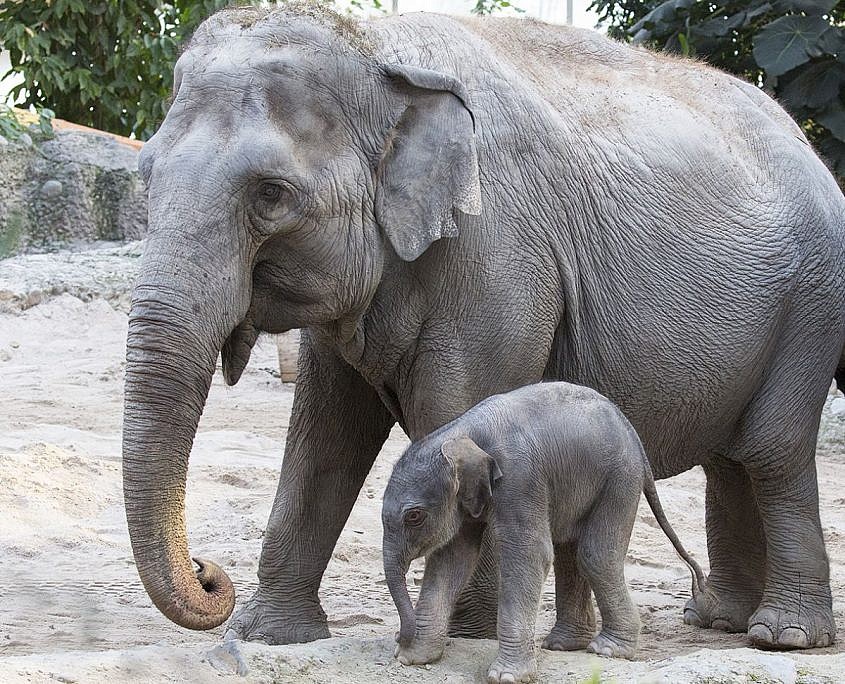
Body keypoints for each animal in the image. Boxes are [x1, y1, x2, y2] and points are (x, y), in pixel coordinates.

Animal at [123, 4, 844, 648]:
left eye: (271, 194)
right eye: (146, 175)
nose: (208, 571)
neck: (374, 44)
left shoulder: (497, 257)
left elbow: (455, 413)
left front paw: (465, 633)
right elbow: (324, 436)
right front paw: (270, 636)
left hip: (811, 308)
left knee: (770, 450)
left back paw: (781, 635)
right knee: (729, 458)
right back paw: (718, 621)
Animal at [382, 382, 704, 680]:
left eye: (414, 516)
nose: (399, 637)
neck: (462, 431)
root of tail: (632, 432)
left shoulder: (520, 479)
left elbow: (529, 555)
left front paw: (507, 676)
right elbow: (451, 559)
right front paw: (413, 657)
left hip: (620, 479)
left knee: (596, 556)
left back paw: (608, 649)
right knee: (571, 554)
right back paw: (564, 645)